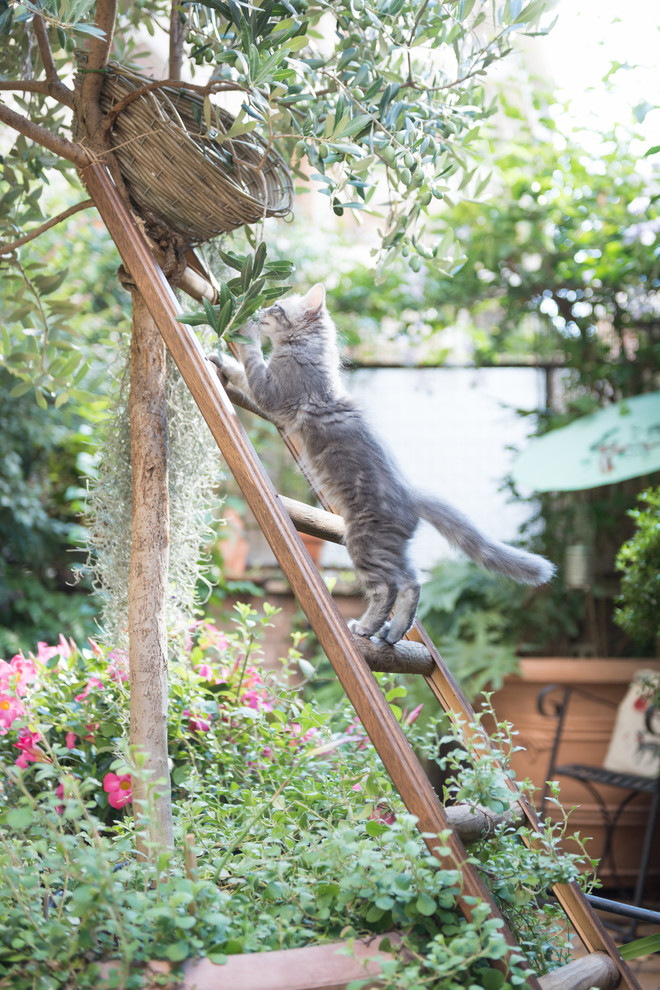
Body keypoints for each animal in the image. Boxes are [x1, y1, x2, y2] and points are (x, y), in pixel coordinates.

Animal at [209, 282, 556, 648]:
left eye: (275, 306)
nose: (260, 310)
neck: (308, 352)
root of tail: (410, 494)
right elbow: (243, 370)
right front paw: (221, 357)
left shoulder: (272, 392)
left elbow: (252, 363)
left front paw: (241, 337)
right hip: (390, 549)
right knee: (412, 583)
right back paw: (392, 632)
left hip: (364, 542)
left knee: (387, 588)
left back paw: (366, 627)